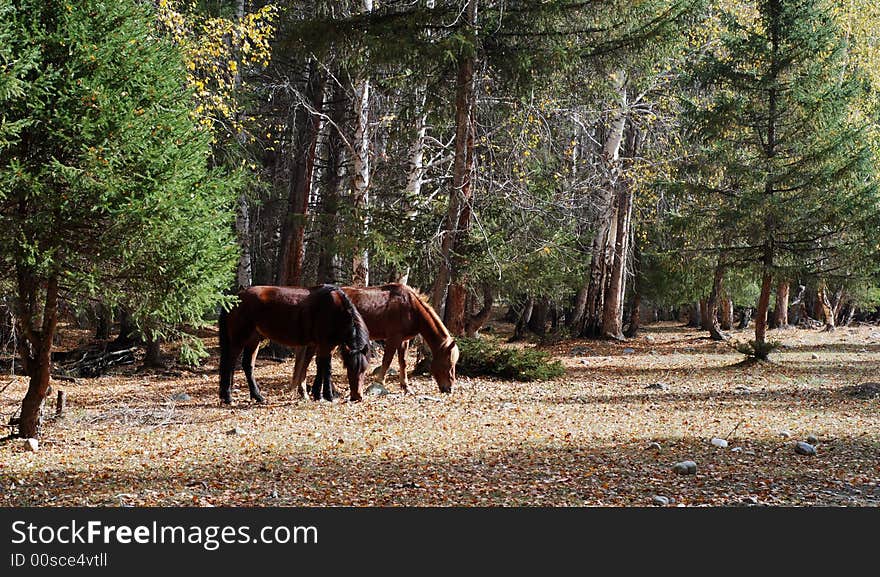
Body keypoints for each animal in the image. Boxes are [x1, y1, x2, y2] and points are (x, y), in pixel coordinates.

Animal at [222, 282, 372, 400]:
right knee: (230, 363)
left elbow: (320, 367)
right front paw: (328, 396)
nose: (357, 396)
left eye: (364, 369)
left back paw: (257, 396)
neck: (335, 309)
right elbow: (327, 369)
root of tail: (237, 296)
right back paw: (228, 397)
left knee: (248, 366)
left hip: (254, 340)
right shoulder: (325, 345)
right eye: (349, 368)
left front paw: (317, 394)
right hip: (239, 339)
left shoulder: (323, 346)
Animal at [294, 282, 464, 396]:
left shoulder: (404, 340)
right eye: (447, 364)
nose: (449, 389)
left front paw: (406, 387)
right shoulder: (394, 337)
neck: (411, 307)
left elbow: (403, 363)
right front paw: (379, 383)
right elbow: (387, 360)